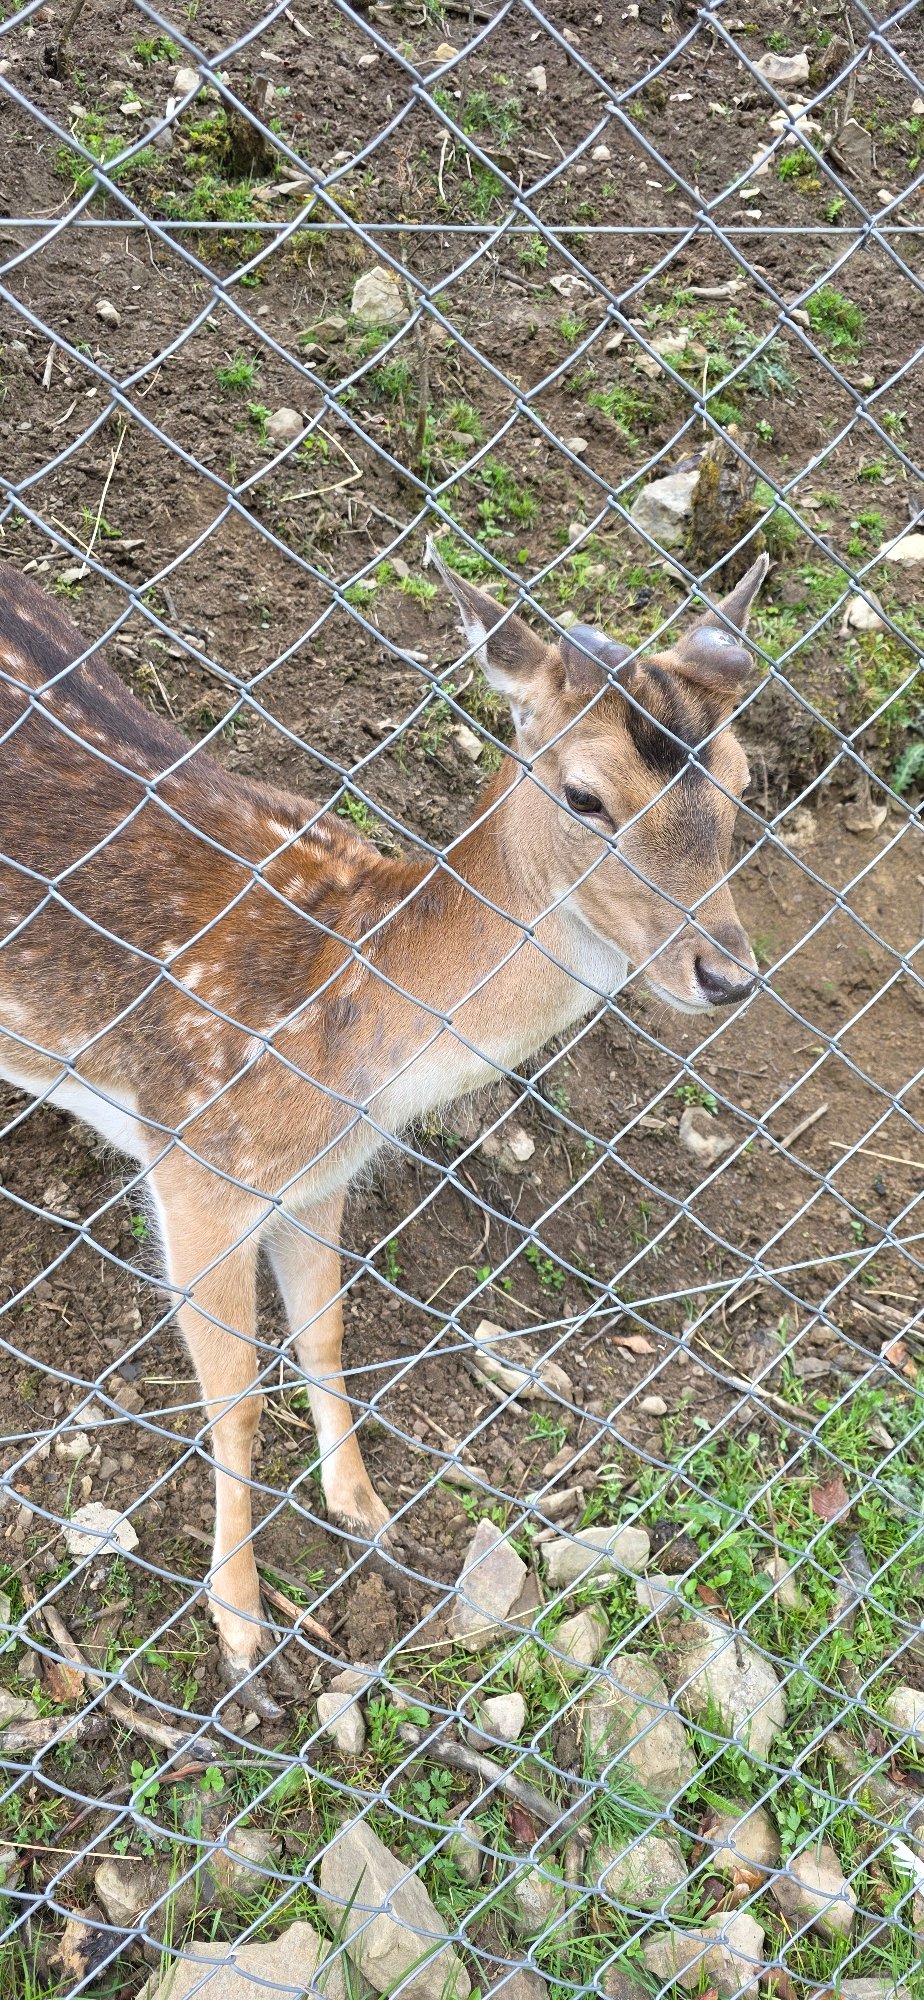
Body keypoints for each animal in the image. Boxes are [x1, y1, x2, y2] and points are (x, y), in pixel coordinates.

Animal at [0, 545, 767, 1707]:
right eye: (585, 795)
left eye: (742, 782)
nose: (725, 973)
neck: (355, 1034)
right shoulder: (196, 1163)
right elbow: (234, 1397)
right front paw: (241, 1626)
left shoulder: (315, 1178)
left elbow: (324, 1331)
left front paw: (363, 1508)